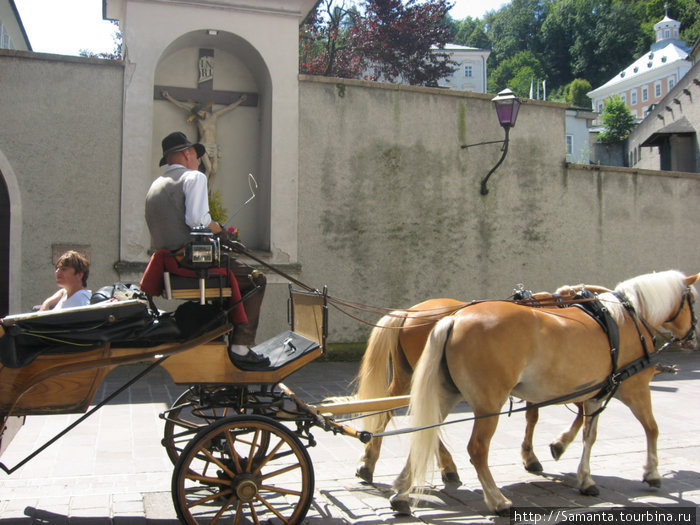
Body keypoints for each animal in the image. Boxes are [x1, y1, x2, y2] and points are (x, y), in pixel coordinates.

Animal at [356, 284, 612, 486]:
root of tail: (408, 314)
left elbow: (534, 417)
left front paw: (532, 455)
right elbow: (576, 414)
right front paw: (554, 446)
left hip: (407, 377)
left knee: (391, 411)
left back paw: (369, 464)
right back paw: (447, 466)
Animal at [392, 272, 696, 512]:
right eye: (693, 300)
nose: (692, 338)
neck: (625, 319)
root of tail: (454, 319)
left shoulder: (595, 392)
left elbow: (589, 435)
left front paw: (584, 477)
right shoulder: (636, 388)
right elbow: (652, 428)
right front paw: (652, 472)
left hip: (444, 394)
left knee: (424, 433)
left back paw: (402, 492)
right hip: (488, 403)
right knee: (476, 449)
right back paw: (497, 500)